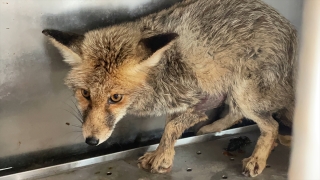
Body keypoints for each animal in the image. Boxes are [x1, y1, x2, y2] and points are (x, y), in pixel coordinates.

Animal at [42, 0, 298, 177]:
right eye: (85, 94)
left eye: (115, 97)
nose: (91, 141)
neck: (162, 71)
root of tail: (289, 28)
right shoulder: (177, 102)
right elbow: (169, 128)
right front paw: (163, 155)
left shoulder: (203, 99)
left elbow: (173, 127)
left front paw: (161, 157)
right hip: (236, 92)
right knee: (238, 113)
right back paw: (212, 128)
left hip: (244, 93)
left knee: (271, 126)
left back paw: (258, 159)